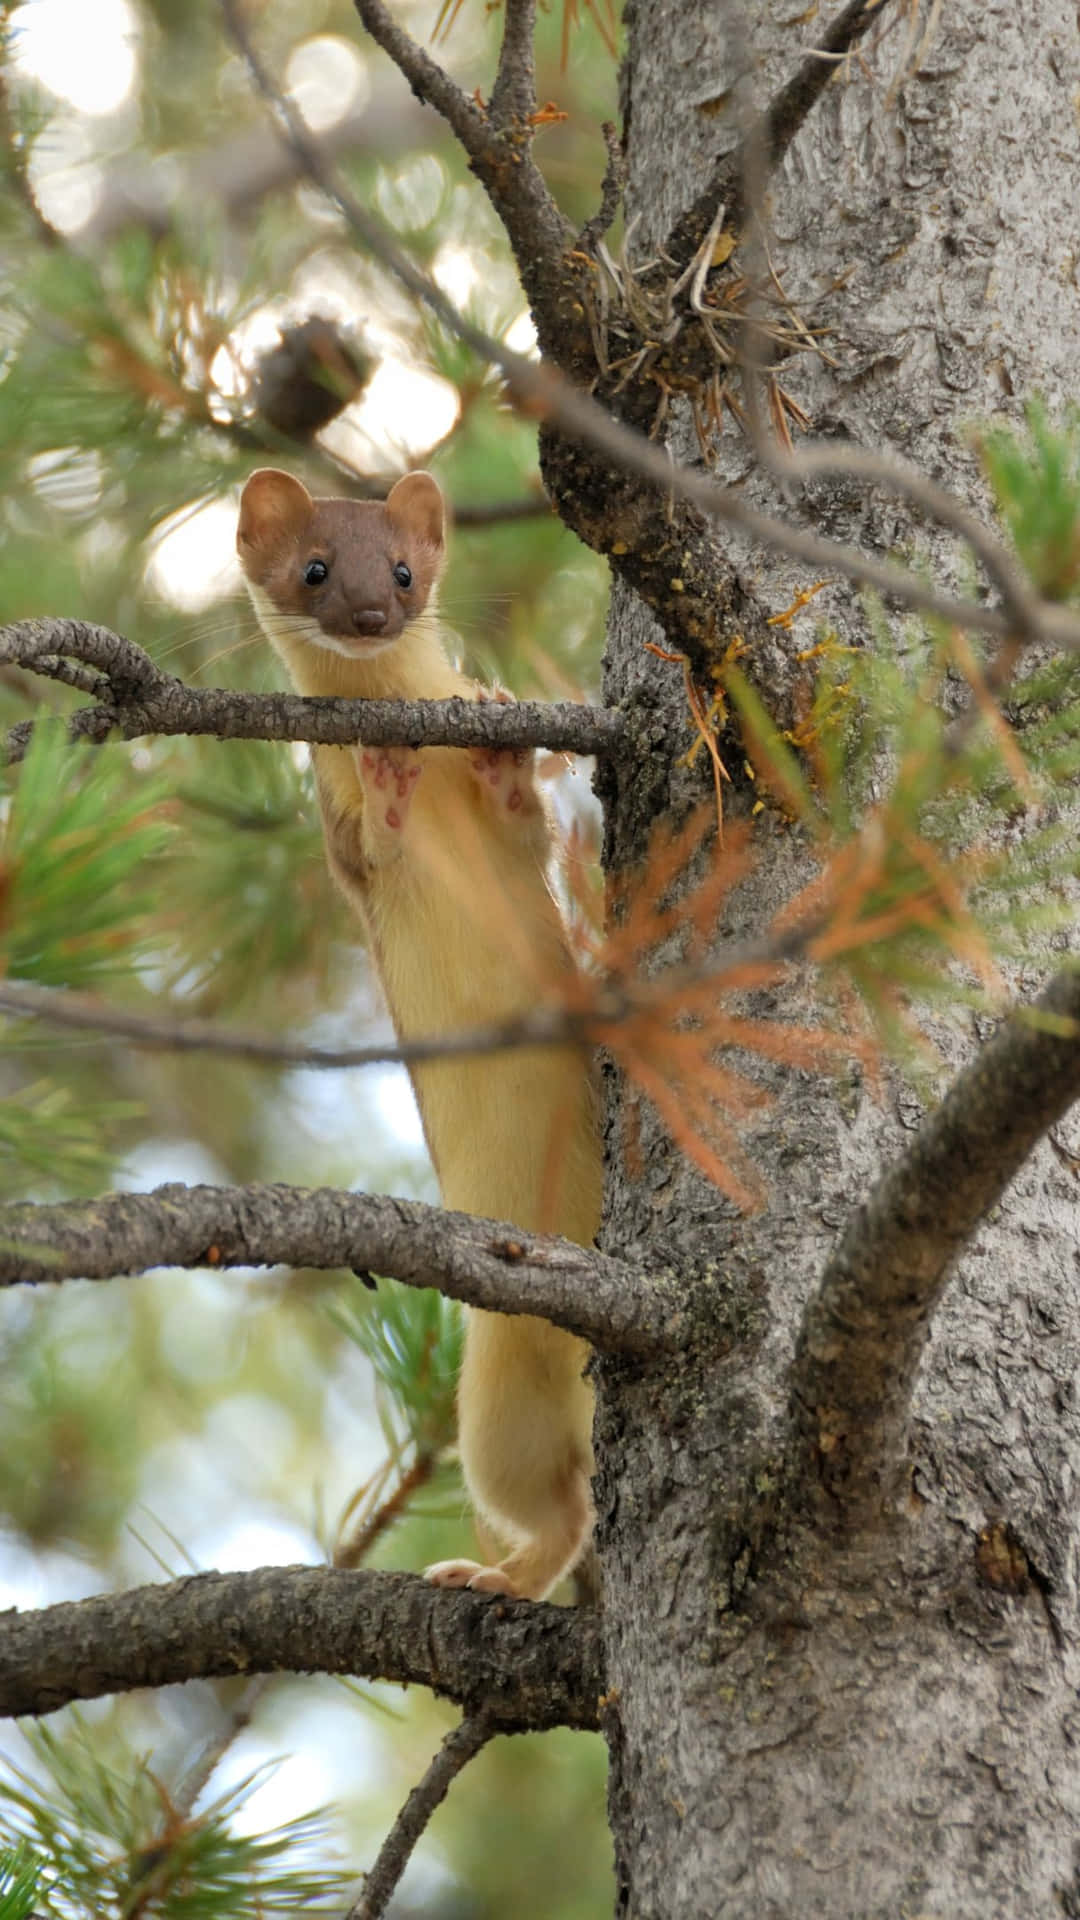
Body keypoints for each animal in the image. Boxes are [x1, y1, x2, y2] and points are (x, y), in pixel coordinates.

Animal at [235, 468, 599, 1605]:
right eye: (313, 566)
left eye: (402, 569)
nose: (366, 615)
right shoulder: (342, 848)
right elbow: (373, 848)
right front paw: (390, 782)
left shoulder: (521, 854)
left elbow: (526, 827)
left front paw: (498, 740)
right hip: (498, 1386)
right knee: (557, 1506)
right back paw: (487, 1575)